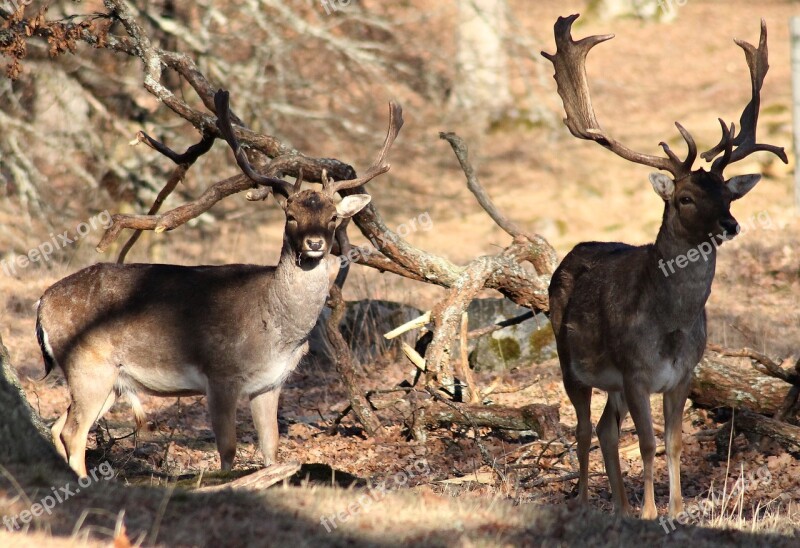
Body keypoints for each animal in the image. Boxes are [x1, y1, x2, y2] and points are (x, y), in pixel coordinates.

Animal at [34, 90, 404, 476]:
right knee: (73, 433)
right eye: (290, 216)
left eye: (333, 217)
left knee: (58, 426)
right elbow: (227, 448)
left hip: (111, 382)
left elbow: (271, 447)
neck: (275, 329)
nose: (315, 243)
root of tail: (42, 303)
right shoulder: (220, 373)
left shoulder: (271, 383)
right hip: (88, 365)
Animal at [540, 12, 784, 520]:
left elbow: (672, 444)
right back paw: (585, 501)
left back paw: (619, 506)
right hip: (568, 359)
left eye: (728, 194)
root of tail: (570, 252)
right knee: (584, 428)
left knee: (606, 429)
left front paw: (673, 510)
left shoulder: (684, 374)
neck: (668, 326)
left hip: (610, 381)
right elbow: (648, 444)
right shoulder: (635, 372)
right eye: (685, 197)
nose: (730, 224)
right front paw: (652, 513)